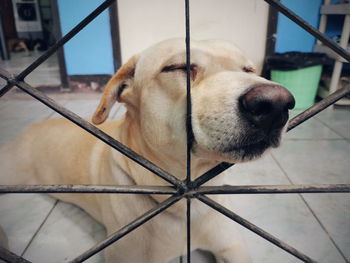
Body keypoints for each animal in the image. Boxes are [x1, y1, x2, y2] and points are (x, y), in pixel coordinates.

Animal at [0, 38, 296, 262]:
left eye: (249, 70)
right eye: (179, 67)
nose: (277, 104)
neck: (185, 200)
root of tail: (28, 130)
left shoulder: (232, 247)